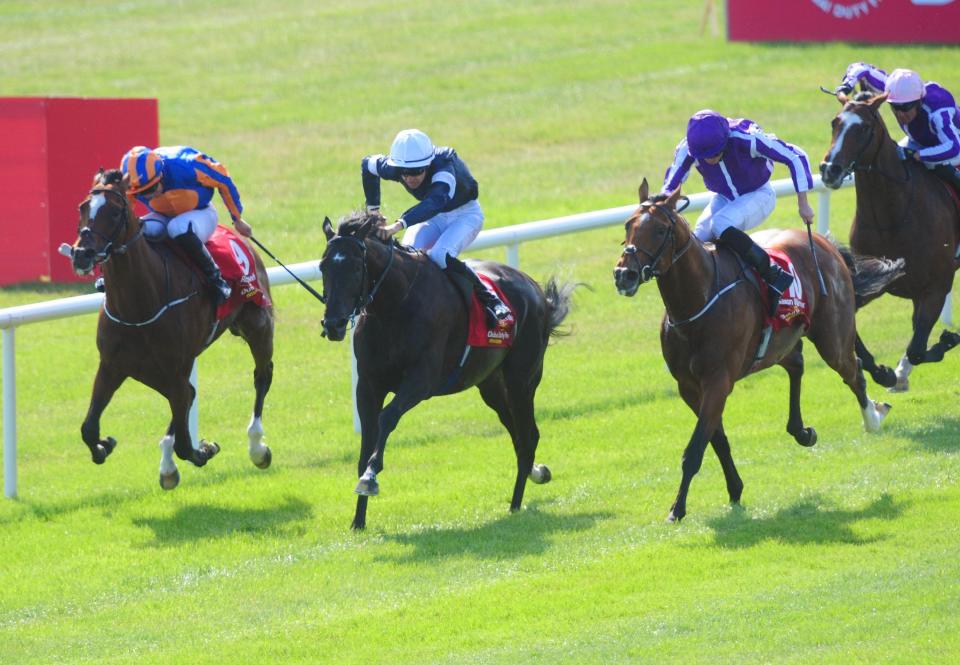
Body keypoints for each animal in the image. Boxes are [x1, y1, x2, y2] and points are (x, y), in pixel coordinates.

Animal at [68, 167, 274, 488]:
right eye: (82, 207)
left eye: (114, 212)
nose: (82, 254)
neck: (139, 303)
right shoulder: (114, 365)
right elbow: (88, 427)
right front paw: (105, 445)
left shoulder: (174, 366)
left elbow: (186, 445)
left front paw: (205, 449)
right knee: (189, 394)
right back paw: (167, 463)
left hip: (258, 325)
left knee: (262, 376)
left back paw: (257, 447)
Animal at [318, 210, 572, 528]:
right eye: (322, 266)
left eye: (354, 268)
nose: (334, 324)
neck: (395, 305)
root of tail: (536, 291)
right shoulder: (368, 384)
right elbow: (367, 438)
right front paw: (358, 519)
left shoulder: (421, 380)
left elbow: (387, 418)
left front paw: (370, 477)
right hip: (490, 384)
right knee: (516, 431)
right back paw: (531, 480)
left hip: (521, 379)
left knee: (528, 435)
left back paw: (516, 503)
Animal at [612, 179, 904, 520]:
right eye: (628, 224)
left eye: (659, 230)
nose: (624, 274)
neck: (698, 300)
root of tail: (823, 241)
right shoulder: (688, 386)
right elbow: (716, 440)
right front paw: (734, 489)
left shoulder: (718, 381)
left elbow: (696, 448)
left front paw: (677, 508)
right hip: (780, 342)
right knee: (798, 363)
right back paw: (803, 430)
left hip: (832, 338)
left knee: (853, 371)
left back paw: (873, 417)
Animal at [816, 88, 960, 390]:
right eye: (835, 122)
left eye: (863, 128)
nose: (829, 169)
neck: (892, 217)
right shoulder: (872, 279)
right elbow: (857, 340)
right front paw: (884, 371)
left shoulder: (937, 286)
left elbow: (917, 349)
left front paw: (949, 339)